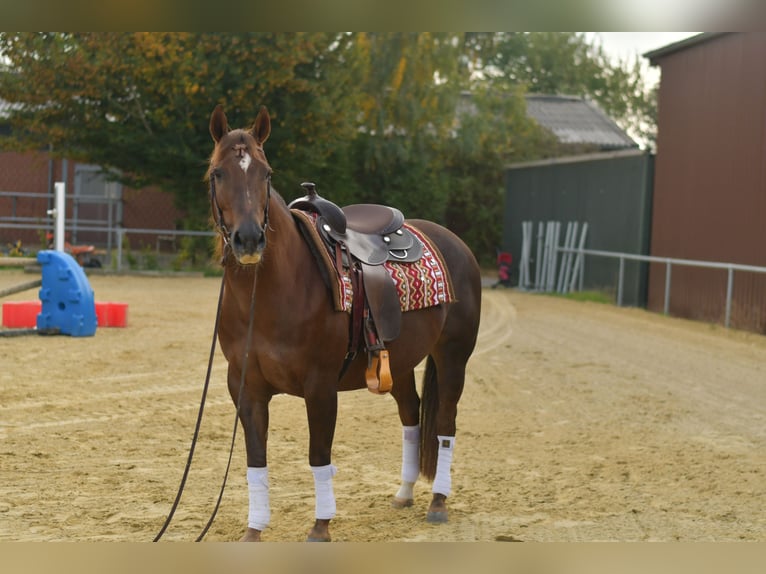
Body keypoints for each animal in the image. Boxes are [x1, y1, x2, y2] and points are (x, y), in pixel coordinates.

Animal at [206, 104, 482, 541]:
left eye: (266, 173)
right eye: (218, 172)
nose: (248, 239)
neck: (270, 295)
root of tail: (454, 242)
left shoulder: (320, 386)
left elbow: (319, 456)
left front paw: (321, 527)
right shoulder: (245, 387)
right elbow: (255, 459)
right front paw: (254, 530)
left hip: (454, 357)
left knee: (445, 422)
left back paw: (438, 502)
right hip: (399, 362)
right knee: (411, 414)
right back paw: (404, 493)